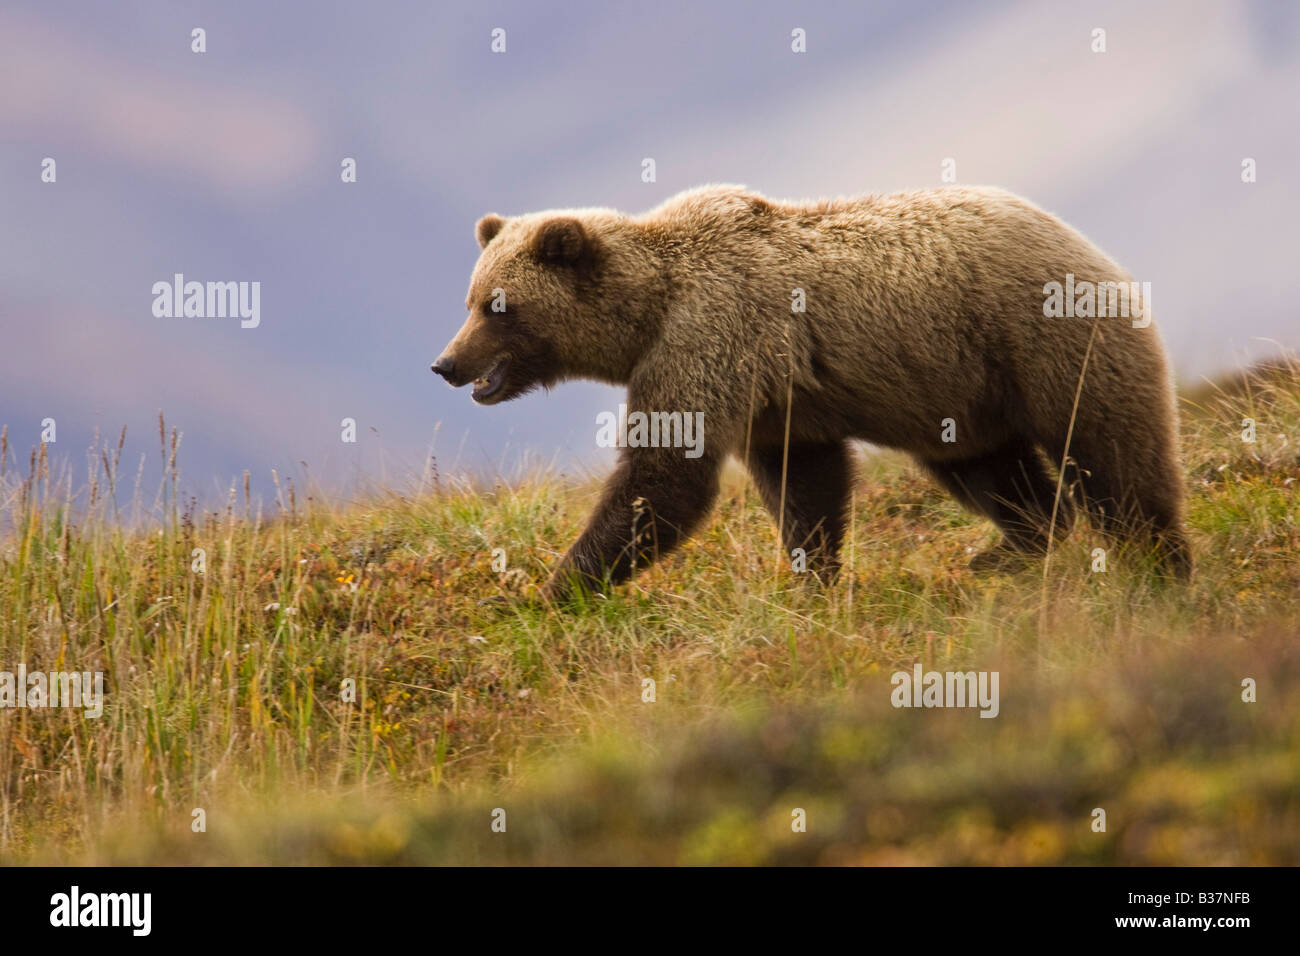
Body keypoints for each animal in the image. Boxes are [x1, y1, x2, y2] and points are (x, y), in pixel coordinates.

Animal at [431, 184, 1185, 600]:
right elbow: (805, 485)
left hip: (1045, 342)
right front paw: (812, 578)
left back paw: (1161, 566)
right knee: (991, 471)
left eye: (498, 306)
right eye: (470, 299)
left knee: (1115, 458)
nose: (446, 364)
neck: (647, 313)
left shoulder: (711, 338)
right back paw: (1005, 552)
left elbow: (664, 480)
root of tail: (1093, 249)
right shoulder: (775, 401)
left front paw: (549, 591)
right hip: (964, 396)